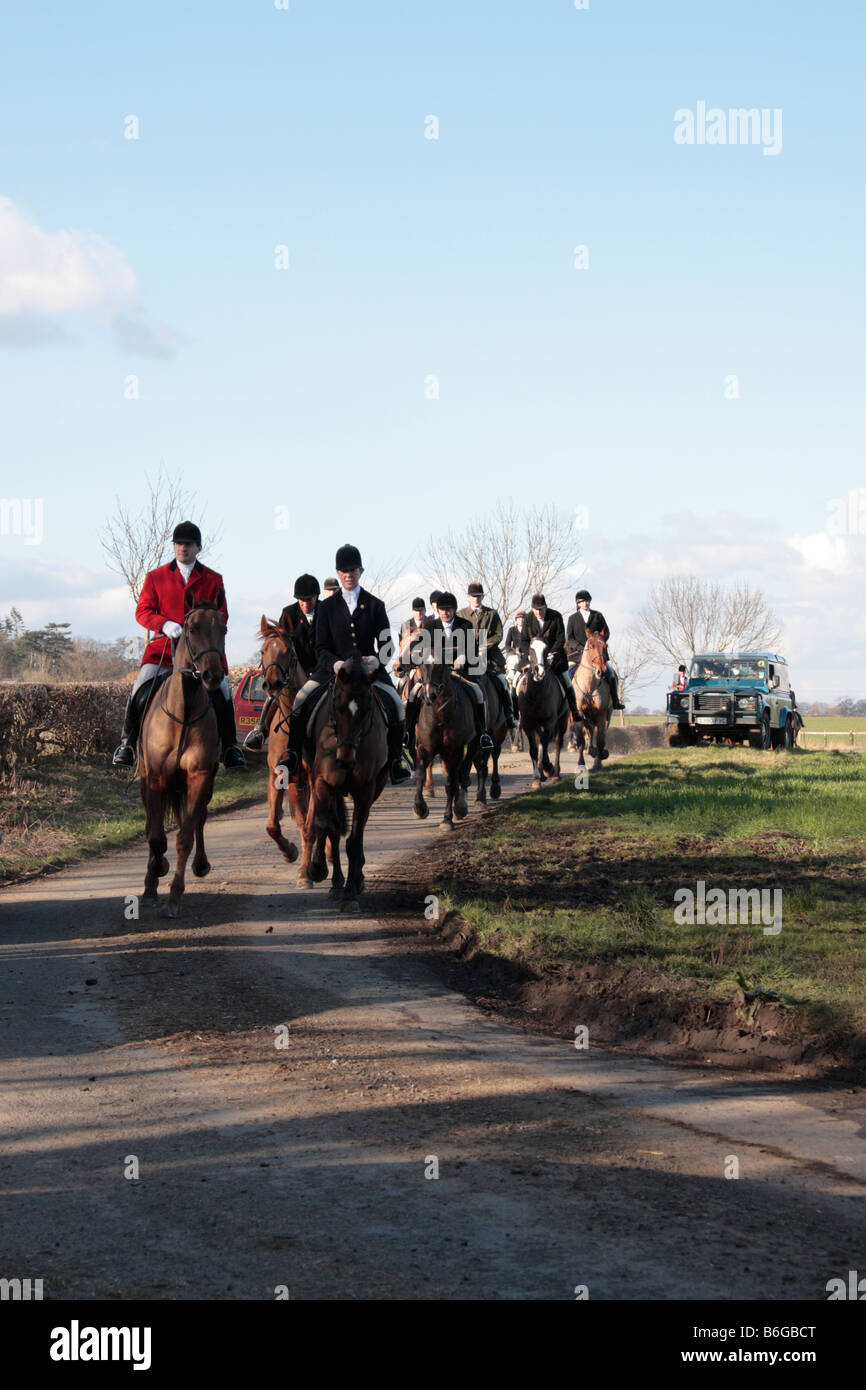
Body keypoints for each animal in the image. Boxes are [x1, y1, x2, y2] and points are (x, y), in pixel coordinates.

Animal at [138, 592, 223, 917]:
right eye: (192, 628)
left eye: (224, 629)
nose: (213, 675)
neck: (183, 712)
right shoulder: (155, 779)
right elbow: (155, 836)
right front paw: (153, 879)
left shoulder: (199, 776)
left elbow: (184, 836)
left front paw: (174, 896)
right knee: (151, 826)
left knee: (199, 818)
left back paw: (200, 864)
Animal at [303, 653, 389, 911]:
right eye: (338, 706)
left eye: (367, 708)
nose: (345, 759)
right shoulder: (323, 782)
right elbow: (324, 824)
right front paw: (317, 869)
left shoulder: (365, 789)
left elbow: (354, 840)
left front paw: (351, 892)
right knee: (333, 828)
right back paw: (335, 883)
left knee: (358, 833)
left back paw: (356, 879)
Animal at [517, 636, 572, 789]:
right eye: (531, 649)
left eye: (546, 650)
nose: (539, 673)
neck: (536, 693)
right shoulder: (528, 724)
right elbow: (534, 749)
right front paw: (537, 778)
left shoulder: (549, 722)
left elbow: (546, 744)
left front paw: (547, 769)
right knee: (541, 742)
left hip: (562, 720)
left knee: (557, 743)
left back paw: (555, 773)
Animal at [572, 631, 614, 772]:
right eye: (590, 646)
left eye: (605, 646)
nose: (601, 671)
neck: (589, 686)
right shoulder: (579, 713)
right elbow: (581, 740)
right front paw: (581, 764)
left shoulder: (601, 714)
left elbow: (600, 740)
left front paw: (598, 762)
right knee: (589, 733)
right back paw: (590, 750)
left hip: (607, 715)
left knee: (600, 734)